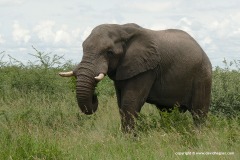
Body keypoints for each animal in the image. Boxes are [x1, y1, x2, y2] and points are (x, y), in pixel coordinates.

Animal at [59, 22, 212, 132]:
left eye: (109, 52)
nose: (94, 96)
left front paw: (129, 141)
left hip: (202, 75)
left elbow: (130, 102)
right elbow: (121, 103)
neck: (121, 28)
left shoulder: (147, 69)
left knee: (199, 112)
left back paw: (198, 135)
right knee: (166, 111)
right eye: (83, 48)